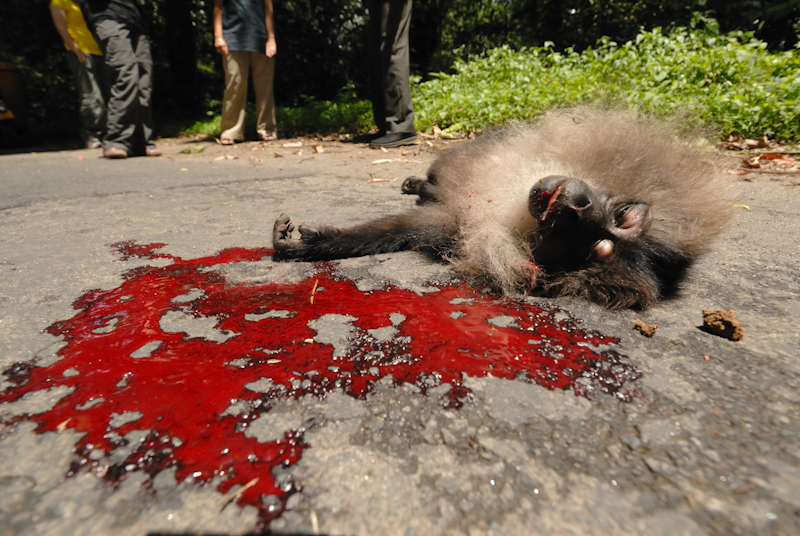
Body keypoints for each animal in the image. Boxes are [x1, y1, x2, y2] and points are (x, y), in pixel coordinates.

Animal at [276, 107, 736, 308]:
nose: (577, 206)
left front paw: (315, 243)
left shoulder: (456, 226)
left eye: (593, 251)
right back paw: (419, 183)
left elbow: (410, 228)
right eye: (622, 218)